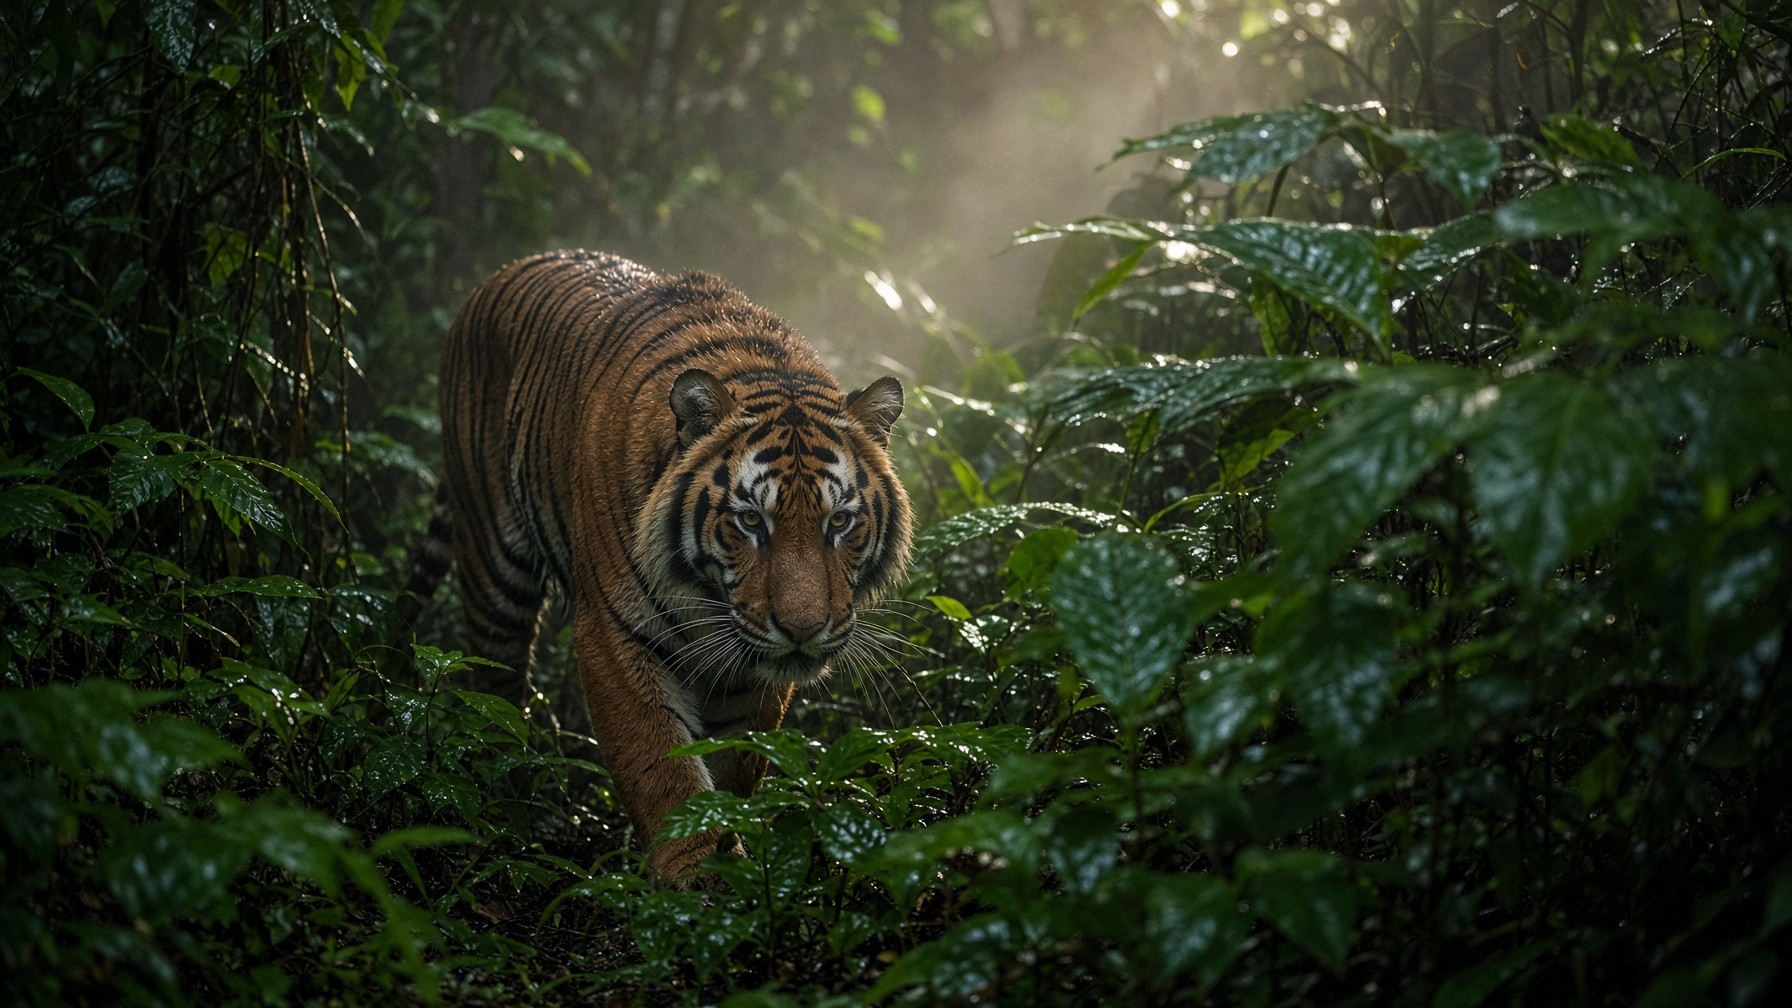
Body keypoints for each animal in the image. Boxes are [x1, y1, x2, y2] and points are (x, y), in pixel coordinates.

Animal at [417, 250, 912, 880]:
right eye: (751, 521)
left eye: (841, 522)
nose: (802, 631)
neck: (707, 599)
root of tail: (503, 270)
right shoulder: (614, 635)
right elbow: (662, 769)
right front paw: (699, 882)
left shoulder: (753, 671)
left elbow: (733, 765)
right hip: (493, 567)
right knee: (494, 689)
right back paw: (509, 812)